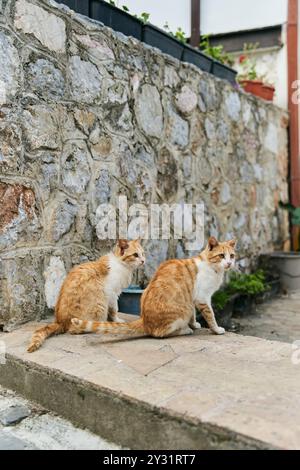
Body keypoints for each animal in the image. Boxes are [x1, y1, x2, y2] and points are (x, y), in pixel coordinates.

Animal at [70, 237, 237, 340]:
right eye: (222, 256)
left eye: (232, 256)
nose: (229, 263)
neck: (213, 268)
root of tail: (145, 320)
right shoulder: (203, 298)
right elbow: (211, 316)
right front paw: (216, 329)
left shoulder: (194, 298)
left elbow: (194, 314)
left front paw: (194, 323)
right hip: (181, 311)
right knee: (160, 333)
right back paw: (184, 330)